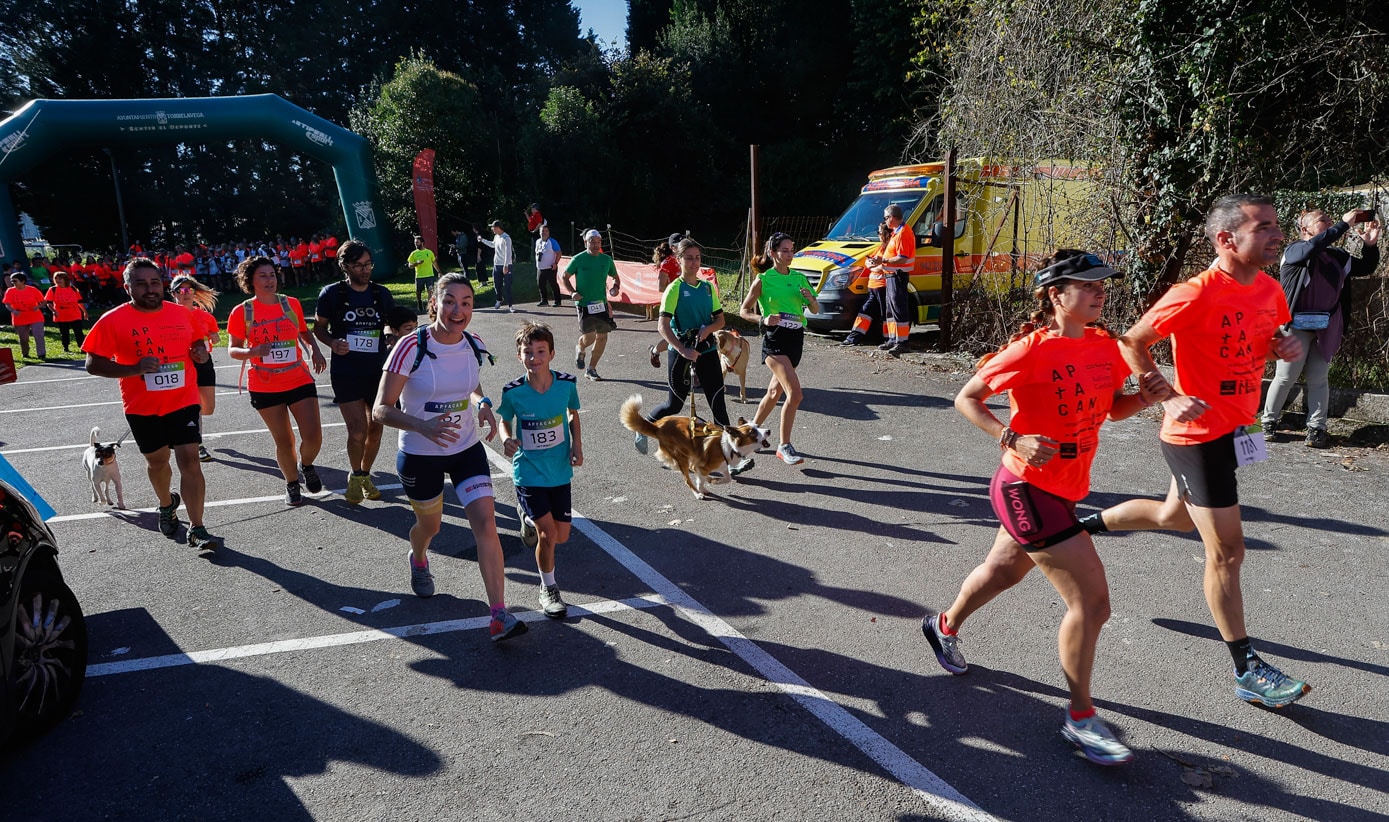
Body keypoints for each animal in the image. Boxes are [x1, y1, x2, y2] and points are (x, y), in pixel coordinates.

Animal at [622, 394, 772, 499]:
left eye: (757, 426)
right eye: (752, 432)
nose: (769, 431)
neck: (730, 445)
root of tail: (658, 425)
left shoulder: (721, 466)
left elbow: (727, 479)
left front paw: (714, 481)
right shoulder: (702, 465)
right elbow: (700, 479)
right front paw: (702, 489)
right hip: (681, 457)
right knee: (687, 480)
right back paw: (697, 493)